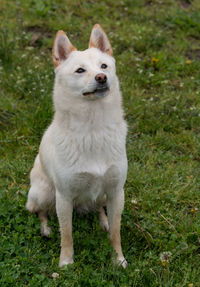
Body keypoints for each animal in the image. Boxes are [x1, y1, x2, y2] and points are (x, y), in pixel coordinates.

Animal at [25, 23, 127, 268]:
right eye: (80, 70)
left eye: (104, 65)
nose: (102, 77)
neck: (93, 128)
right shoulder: (64, 196)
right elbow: (67, 233)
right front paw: (66, 262)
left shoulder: (116, 191)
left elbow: (116, 232)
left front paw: (118, 259)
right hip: (44, 193)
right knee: (40, 211)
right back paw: (46, 228)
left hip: (103, 195)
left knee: (99, 207)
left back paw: (103, 220)